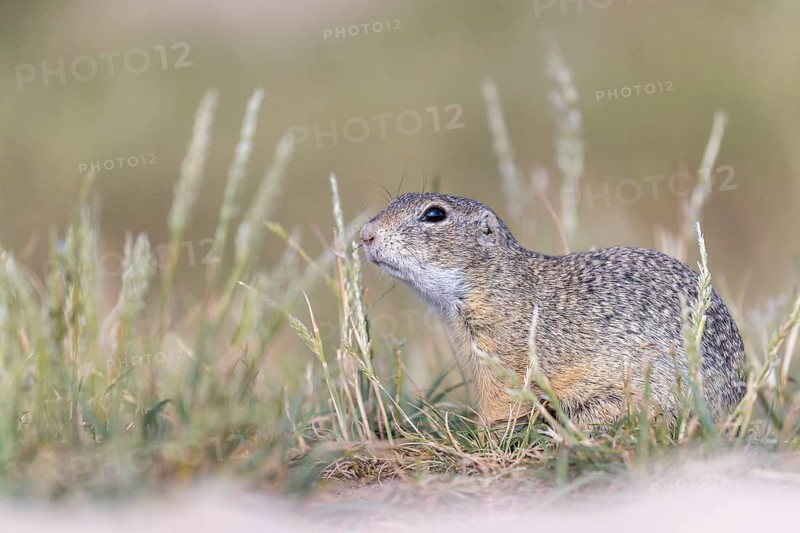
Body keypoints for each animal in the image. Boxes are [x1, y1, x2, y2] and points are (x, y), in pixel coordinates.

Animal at [360, 192, 747, 430]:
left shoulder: (505, 354)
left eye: (434, 214)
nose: (365, 234)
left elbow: (502, 400)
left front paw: (483, 431)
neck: (496, 282)